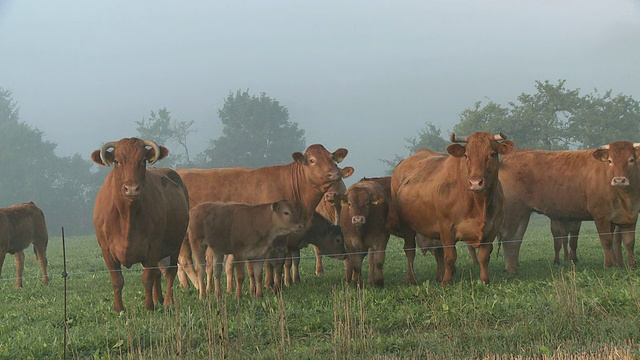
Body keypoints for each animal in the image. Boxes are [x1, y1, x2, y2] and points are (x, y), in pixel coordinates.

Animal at [91, 138, 189, 312]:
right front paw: (118, 308)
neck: (127, 215)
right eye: (117, 161)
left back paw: (167, 301)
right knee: (158, 273)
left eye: (143, 161)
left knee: (170, 272)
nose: (131, 189)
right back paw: (158, 298)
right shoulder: (106, 249)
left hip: (176, 244)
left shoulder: (153, 246)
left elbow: (147, 278)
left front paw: (149, 306)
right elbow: (117, 280)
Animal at [178, 143, 352, 290]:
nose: (335, 173)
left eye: (331, 157)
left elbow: (281, 262)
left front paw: (279, 284)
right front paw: (267, 286)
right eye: (312, 160)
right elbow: (268, 263)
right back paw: (197, 285)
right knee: (186, 261)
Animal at [390, 131, 516, 286]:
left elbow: (484, 256)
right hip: (406, 225)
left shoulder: (492, 229)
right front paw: (447, 282)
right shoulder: (446, 228)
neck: (479, 205)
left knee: (437, 251)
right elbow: (450, 257)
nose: (475, 183)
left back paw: (438, 275)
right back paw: (411, 279)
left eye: (492, 154)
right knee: (410, 250)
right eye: (466, 155)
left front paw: (484, 280)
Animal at [500, 141, 640, 272]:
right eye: (610, 161)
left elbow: (629, 243)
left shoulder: (630, 217)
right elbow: (607, 241)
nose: (619, 180)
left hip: (523, 214)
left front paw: (632, 266)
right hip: (513, 212)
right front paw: (609, 266)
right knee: (508, 238)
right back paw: (510, 269)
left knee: (516, 239)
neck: (625, 198)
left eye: (631, 160)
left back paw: (515, 267)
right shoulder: (601, 216)